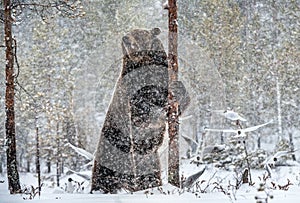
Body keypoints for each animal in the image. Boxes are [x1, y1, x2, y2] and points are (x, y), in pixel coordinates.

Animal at [91, 27, 190, 193]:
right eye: (128, 35)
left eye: (137, 34)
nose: (125, 39)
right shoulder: (130, 93)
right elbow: (141, 113)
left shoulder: (162, 79)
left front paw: (177, 90)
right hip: (111, 160)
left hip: (150, 163)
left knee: (151, 177)